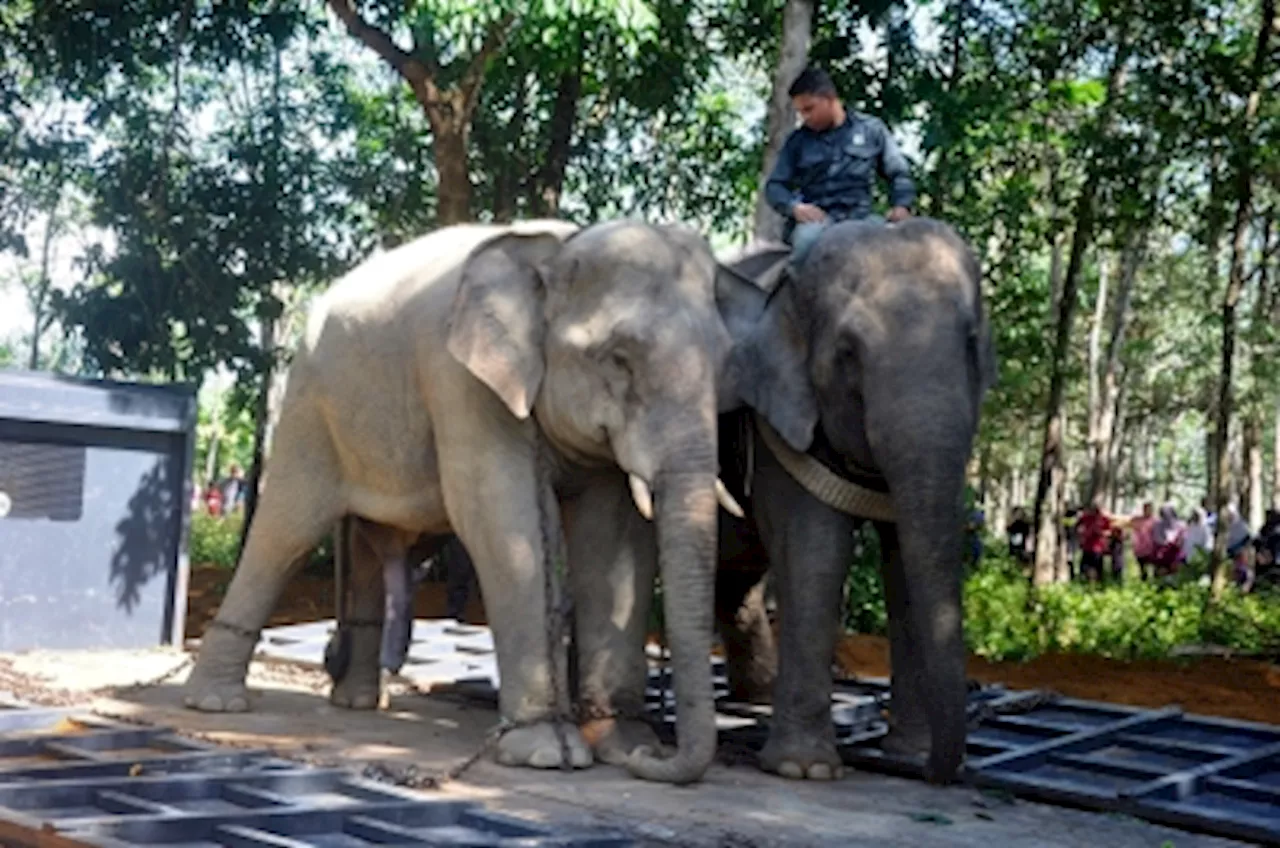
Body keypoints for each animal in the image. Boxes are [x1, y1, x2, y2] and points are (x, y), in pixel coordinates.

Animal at [179, 217, 742, 783]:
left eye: (723, 363)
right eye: (618, 359)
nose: (656, 757)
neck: (558, 248)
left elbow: (614, 540)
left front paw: (622, 746)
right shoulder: (460, 380)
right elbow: (500, 517)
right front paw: (546, 754)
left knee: (364, 548)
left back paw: (359, 703)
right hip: (310, 402)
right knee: (287, 530)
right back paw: (216, 703)